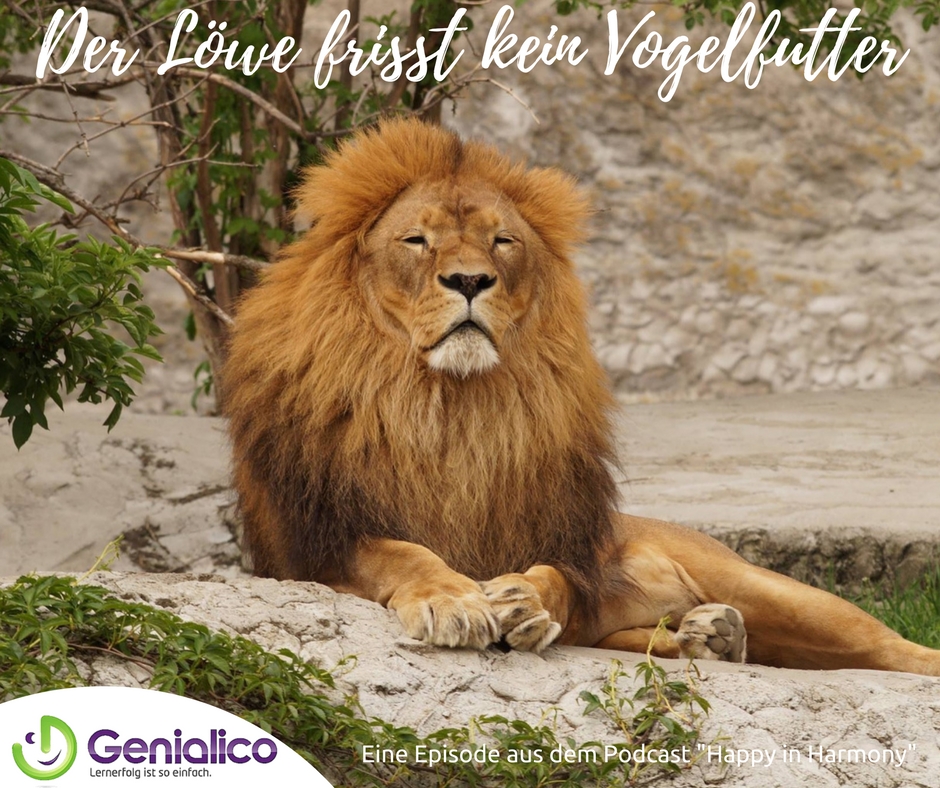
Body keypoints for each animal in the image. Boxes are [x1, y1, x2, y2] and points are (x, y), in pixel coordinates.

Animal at [223, 119, 940, 675]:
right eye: (416, 240)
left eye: (502, 240)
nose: (470, 280)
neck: (450, 406)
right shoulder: (307, 547)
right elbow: (398, 551)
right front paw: (452, 599)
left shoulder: (572, 544)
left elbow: (558, 577)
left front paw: (528, 603)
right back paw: (710, 637)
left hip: (781, 592)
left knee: (893, 648)